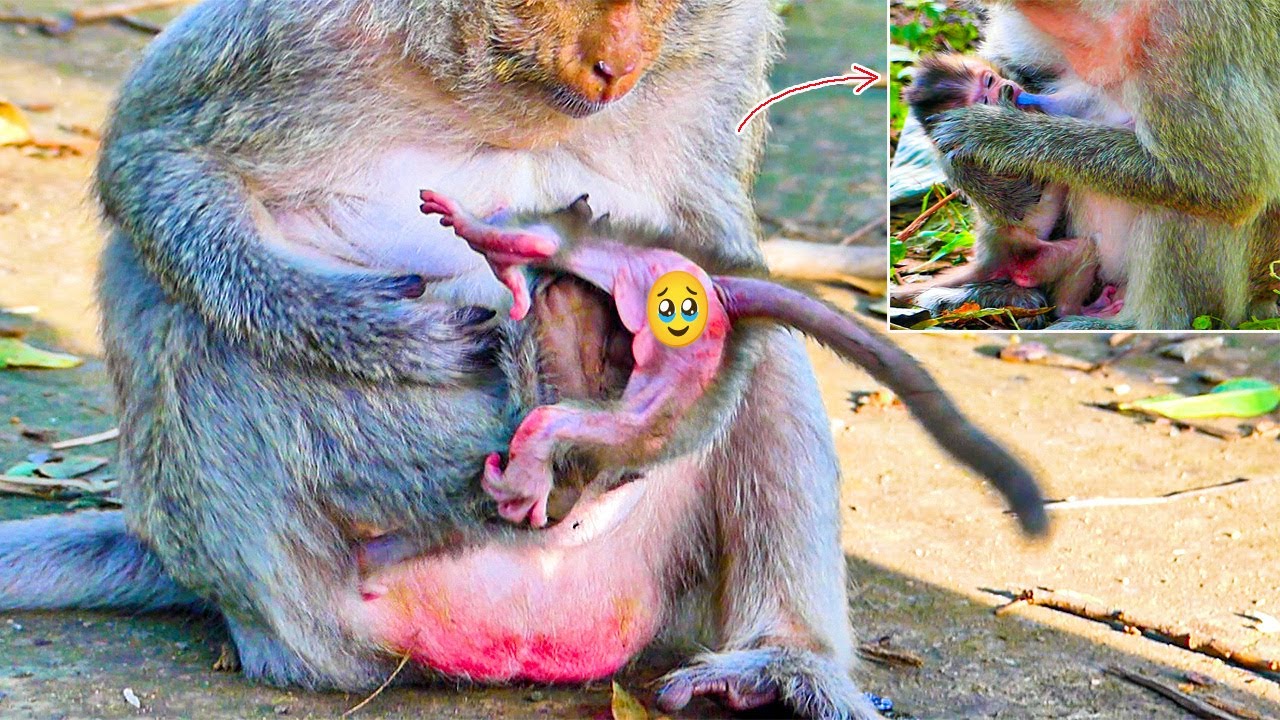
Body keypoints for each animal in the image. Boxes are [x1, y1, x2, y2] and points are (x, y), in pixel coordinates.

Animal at [0, 1, 923, 718]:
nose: (617, 66)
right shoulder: (279, 32)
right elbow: (156, 159)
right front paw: (369, 328)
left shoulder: (722, 55)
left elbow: (716, 247)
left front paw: (669, 390)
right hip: (283, 582)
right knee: (164, 291)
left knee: (768, 348)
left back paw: (780, 658)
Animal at [921, 0, 1280, 330]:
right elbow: (1016, 65)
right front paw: (972, 172)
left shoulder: (1200, 24)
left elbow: (1229, 180)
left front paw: (993, 135)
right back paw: (997, 291)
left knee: (1189, 201)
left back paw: (1132, 325)